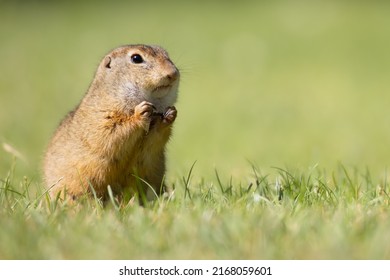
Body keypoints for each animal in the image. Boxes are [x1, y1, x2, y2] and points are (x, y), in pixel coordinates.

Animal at [42, 44, 180, 201]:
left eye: (166, 54)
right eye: (136, 58)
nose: (173, 73)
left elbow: (154, 140)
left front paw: (170, 114)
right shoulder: (101, 118)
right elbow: (111, 133)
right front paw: (141, 113)